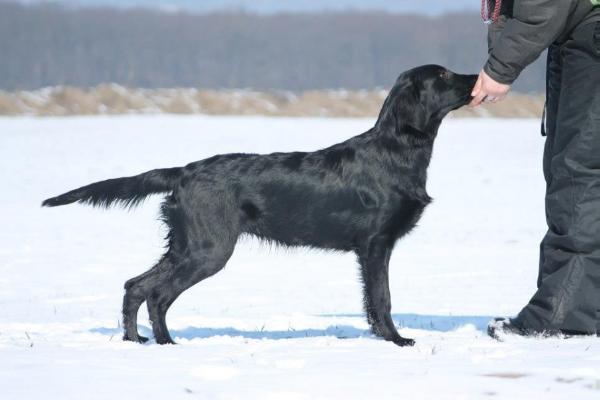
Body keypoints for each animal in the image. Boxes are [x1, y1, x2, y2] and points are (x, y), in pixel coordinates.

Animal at [43, 65, 478, 346]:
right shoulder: (375, 244)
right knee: (158, 294)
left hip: (188, 244)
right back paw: (166, 344)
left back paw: (137, 341)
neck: (396, 149)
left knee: (136, 286)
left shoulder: (374, 246)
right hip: (209, 249)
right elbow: (382, 298)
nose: (477, 76)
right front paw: (396, 340)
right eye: (442, 75)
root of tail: (183, 171)